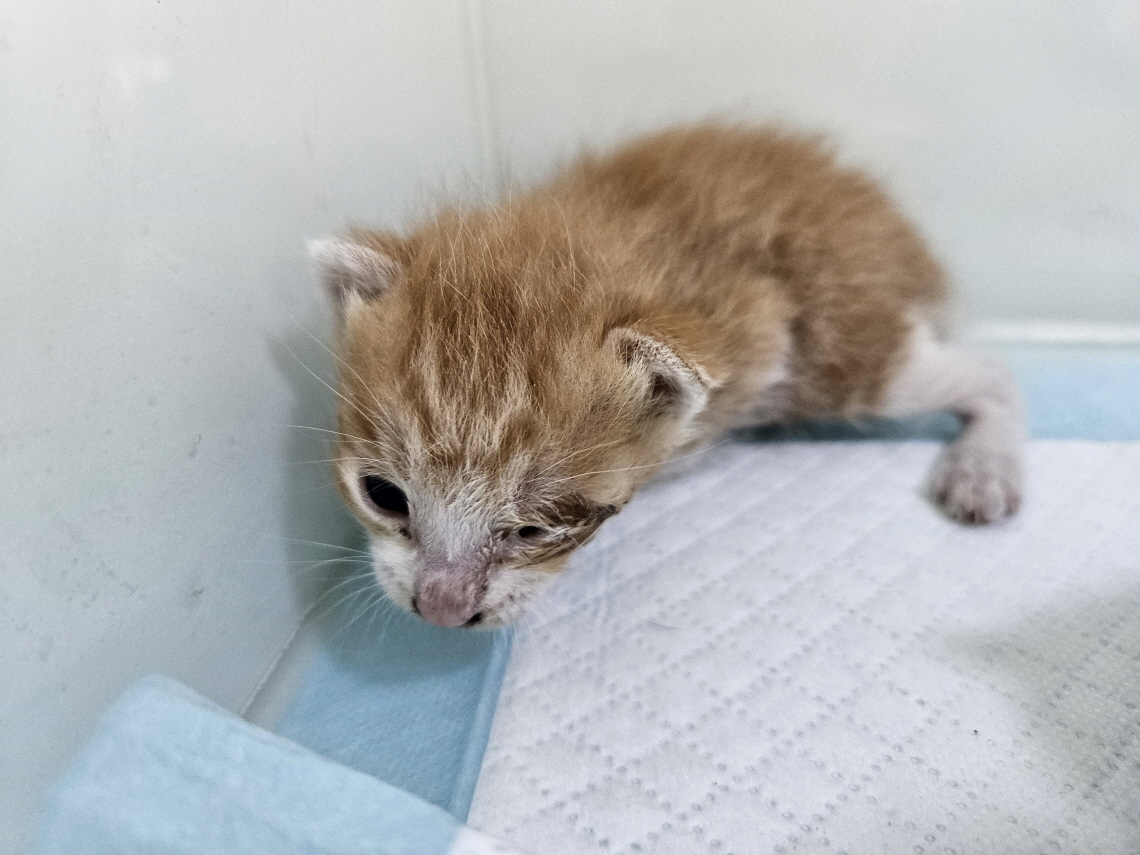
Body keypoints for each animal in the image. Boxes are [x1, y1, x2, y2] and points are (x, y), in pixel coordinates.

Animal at [310, 123, 1026, 629]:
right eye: (383, 494)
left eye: (538, 528)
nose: (441, 611)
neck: (585, 241)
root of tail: (890, 223)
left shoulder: (758, 326)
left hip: (849, 356)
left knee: (989, 371)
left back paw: (983, 470)